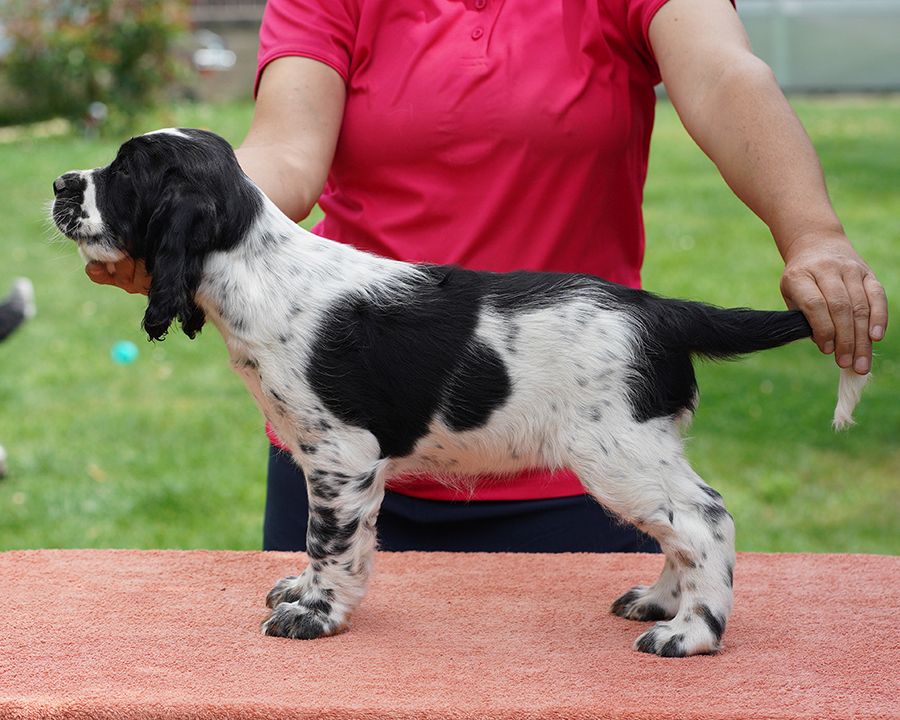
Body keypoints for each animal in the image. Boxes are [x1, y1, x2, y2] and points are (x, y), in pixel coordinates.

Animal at [49, 129, 864, 660]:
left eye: (123, 172)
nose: (58, 184)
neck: (256, 265)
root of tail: (663, 309)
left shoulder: (343, 456)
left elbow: (330, 543)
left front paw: (316, 614)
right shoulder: (334, 462)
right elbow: (331, 546)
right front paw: (303, 593)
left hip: (618, 449)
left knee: (705, 519)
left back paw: (690, 633)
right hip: (643, 447)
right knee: (681, 528)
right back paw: (662, 600)